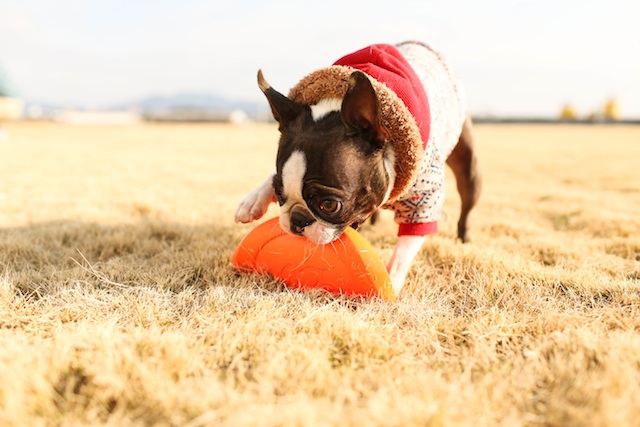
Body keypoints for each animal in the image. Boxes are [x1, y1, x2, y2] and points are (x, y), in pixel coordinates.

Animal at [235, 41, 480, 296]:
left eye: (329, 205)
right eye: (280, 195)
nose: (297, 220)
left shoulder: (424, 198)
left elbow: (405, 248)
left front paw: (392, 280)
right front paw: (253, 200)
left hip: (468, 168)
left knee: (466, 203)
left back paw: (463, 236)